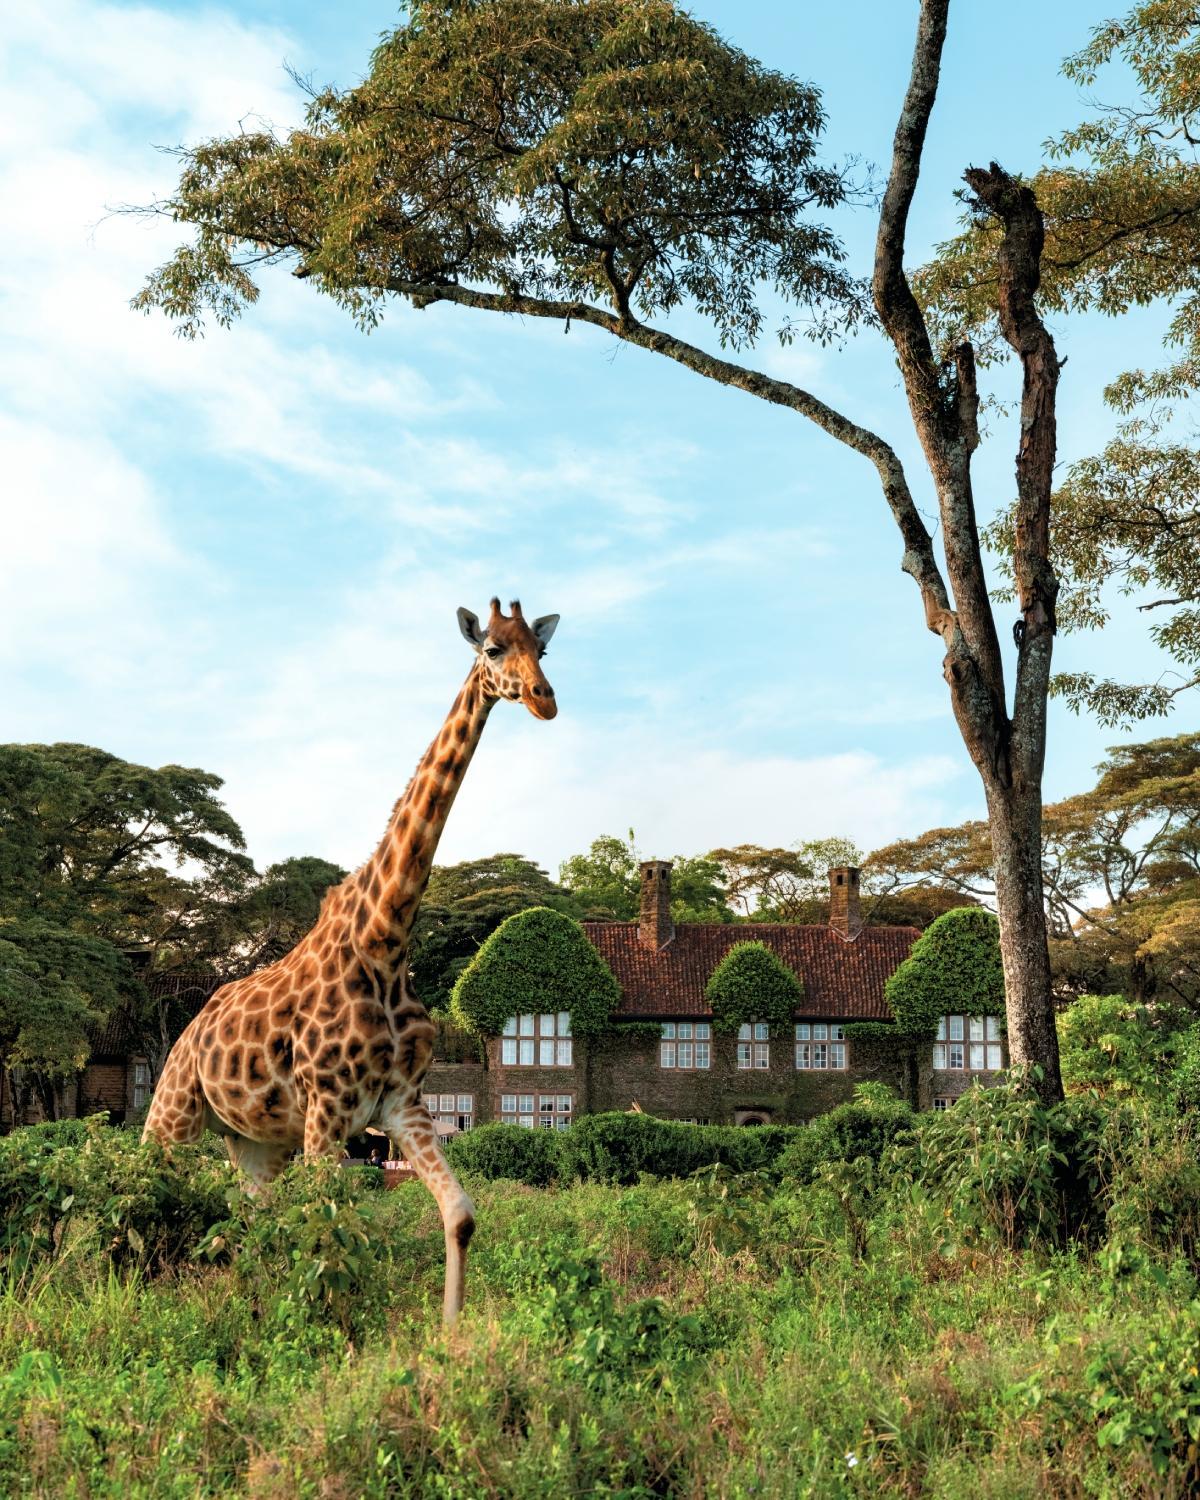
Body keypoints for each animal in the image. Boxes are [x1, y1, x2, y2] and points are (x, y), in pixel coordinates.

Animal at [144, 598, 559, 1324]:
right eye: (492, 650)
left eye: (543, 650)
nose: (544, 699)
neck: (387, 940)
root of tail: (191, 1027)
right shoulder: (328, 1109)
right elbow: (323, 1230)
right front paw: (319, 1329)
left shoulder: (399, 1103)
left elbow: (459, 1215)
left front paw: (449, 1339)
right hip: (174, 1112)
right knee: (143, 1186)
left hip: (257, 1142)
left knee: (251, 1212)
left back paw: (249, 1301)